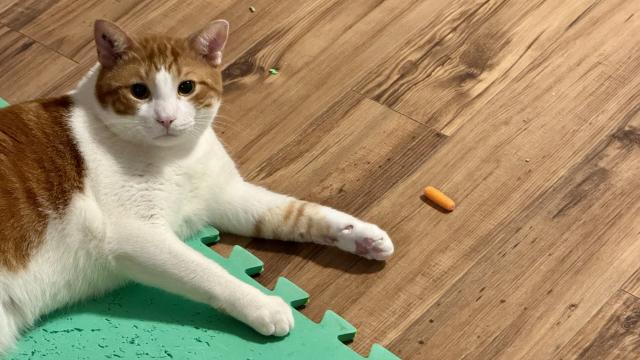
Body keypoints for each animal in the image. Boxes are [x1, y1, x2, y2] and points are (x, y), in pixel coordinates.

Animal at [0, 18, 396, 352]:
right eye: (139, 91)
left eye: (186, 88)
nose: (166, 118)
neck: (175, 157)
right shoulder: (135, 234)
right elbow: (207, 270)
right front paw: (263, 305)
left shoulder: (229, 196)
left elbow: (297, 213)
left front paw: (362, 236)